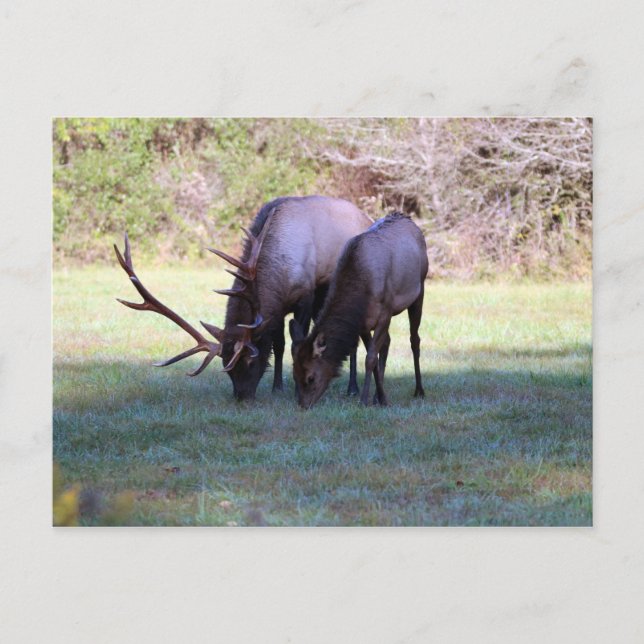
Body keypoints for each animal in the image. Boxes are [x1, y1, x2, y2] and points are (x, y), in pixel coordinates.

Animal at [114, 196, 373, 400]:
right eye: (226, 366)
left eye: (250, 361)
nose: (242, 397)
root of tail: (367, 217)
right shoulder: (275, 310)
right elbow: (278, 345)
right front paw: (277, 387)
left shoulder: (305, 296)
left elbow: (296, 342)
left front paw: (295, 388)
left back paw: (353, 388)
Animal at [290, 212, 428, 408]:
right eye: (294, 374)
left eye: (311, 378)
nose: (303, 405)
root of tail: (407, 218)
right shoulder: (362, 322)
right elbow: (374, 357)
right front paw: (381, 398)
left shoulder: (385, 311)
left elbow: (370, 358)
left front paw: (364, 400)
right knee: (387, 342)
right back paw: (378, 396)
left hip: (419, 290)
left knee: (414, 340)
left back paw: (419, 390)